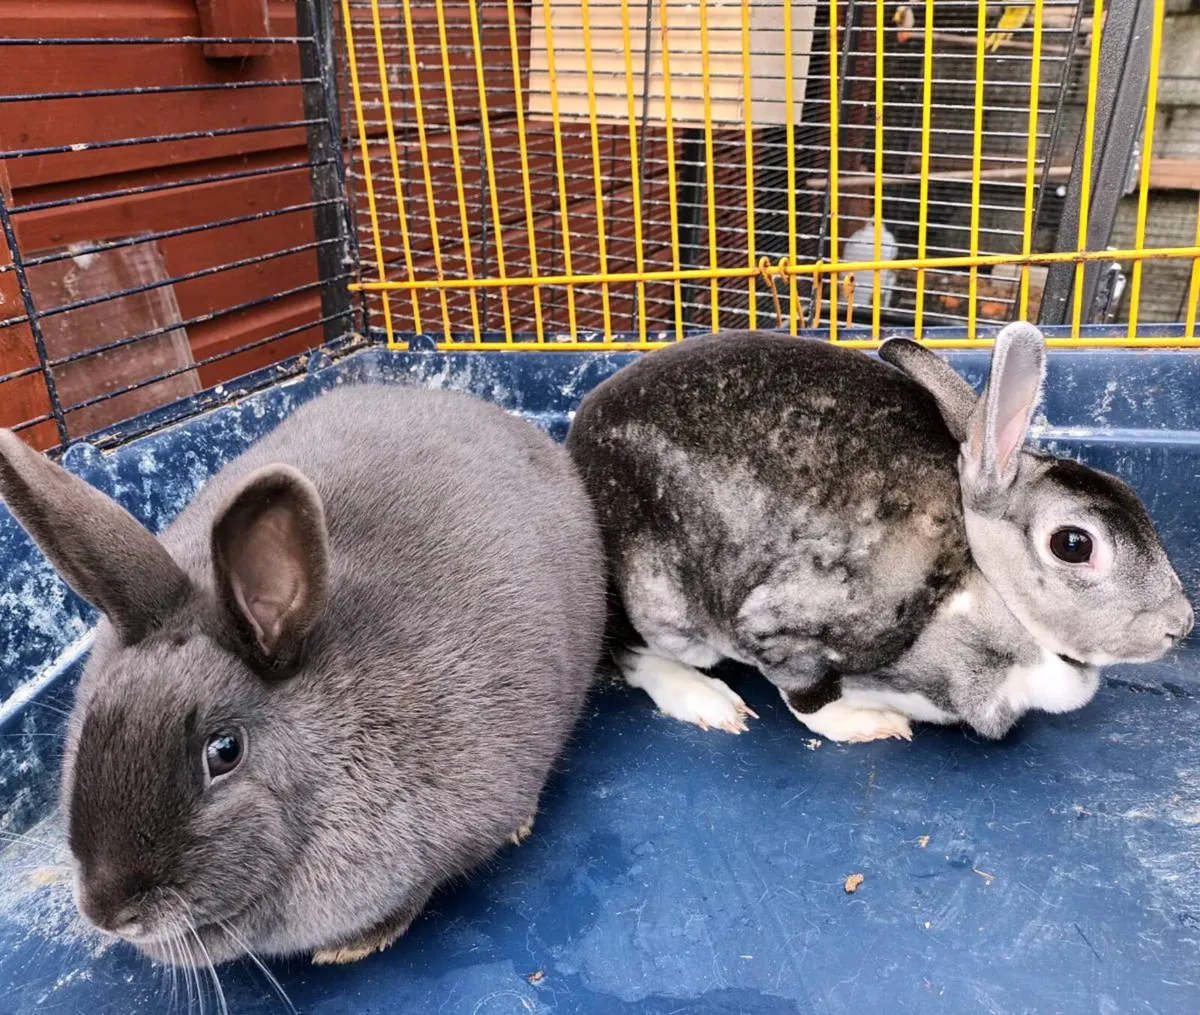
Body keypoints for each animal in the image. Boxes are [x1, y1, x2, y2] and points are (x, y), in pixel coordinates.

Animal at [565, 322, 1193, 745]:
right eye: (1074, 544)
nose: (1181, 625)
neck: (982, 583)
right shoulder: (787, 628)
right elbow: (808, 698)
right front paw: (868, 724)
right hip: (659, 601)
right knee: (629, 652)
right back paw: (709, 703)